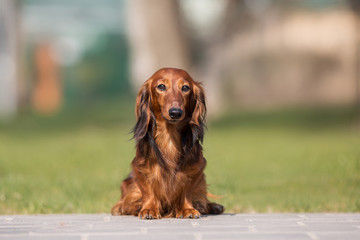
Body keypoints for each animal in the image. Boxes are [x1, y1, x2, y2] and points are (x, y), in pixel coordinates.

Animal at [112, 67, 225, 219]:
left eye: (185, 88)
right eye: (161, 86)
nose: (175, 112)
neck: (169, 137)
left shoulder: (196, 168)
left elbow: (188, 190)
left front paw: (187, 209)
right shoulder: (140, 168)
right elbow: (147, 190)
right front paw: (149, 209)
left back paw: (213, 206)